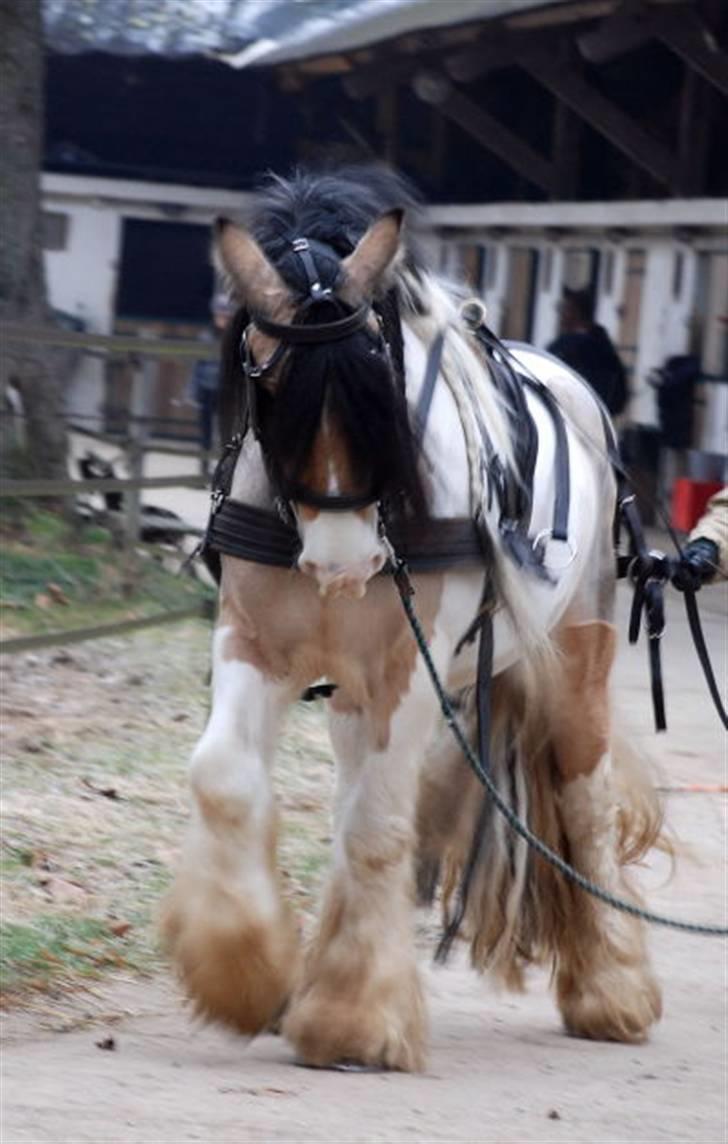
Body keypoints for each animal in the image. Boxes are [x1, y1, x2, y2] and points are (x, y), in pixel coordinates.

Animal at [162, 165, 663, 1066]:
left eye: (378, 372)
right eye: (267, 375)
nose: (342, 561)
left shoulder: (408, 669)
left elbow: (377, 828)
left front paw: (353, 1018)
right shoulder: (256, 645)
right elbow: (224, 779)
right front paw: (243, 974)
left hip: (577, 655)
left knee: (584, 801)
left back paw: (612, 992)